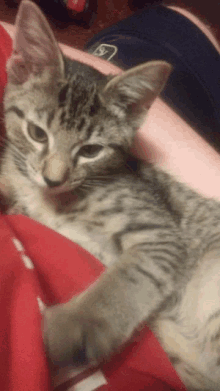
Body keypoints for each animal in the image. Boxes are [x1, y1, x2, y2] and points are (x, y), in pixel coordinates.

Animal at [2, 1, 220, 390]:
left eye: (90, 150)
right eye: (37, 133)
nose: (53, 179)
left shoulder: (162, 236)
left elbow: (124, 281)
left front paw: (74, 327)